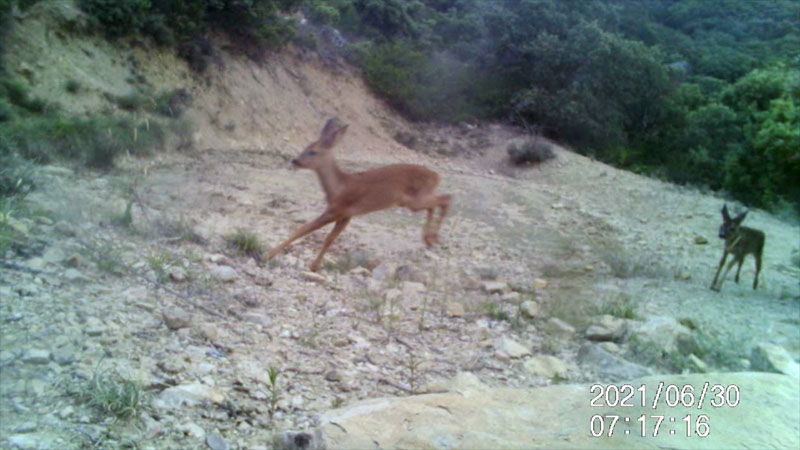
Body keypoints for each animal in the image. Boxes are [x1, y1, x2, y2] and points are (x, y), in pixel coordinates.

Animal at [264, 118, 446, 270]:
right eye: (305, 147)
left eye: (313, 151)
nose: (295, 160)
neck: (338, 187)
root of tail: (437, 176)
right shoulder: (346, 215)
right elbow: (330, 239)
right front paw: (314, 266)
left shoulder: (337, 209)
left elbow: (305, 229)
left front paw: (270, 254)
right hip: (413, 201)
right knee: (436, 204)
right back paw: (429, 239)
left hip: (416, 199)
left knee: (445, 199)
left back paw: (433, 238)